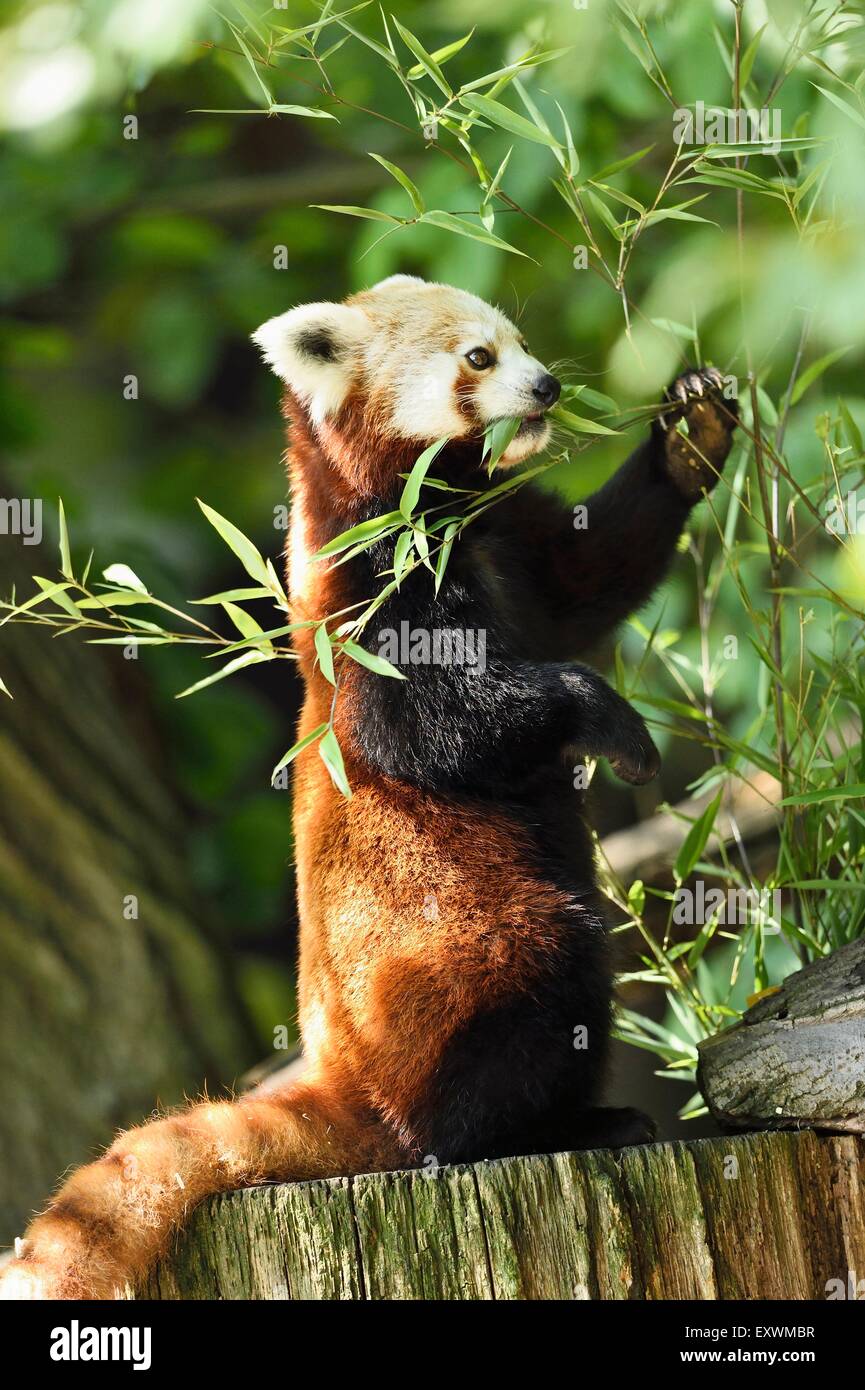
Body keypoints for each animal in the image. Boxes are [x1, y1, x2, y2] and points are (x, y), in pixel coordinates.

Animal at [0, 276, 739, 1295]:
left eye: (519, 341)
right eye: (478, 357)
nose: (548, 387)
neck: (439, 511)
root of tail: (344, 1078)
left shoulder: (512, 539)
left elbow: (589, 576)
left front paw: (690, 430)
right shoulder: (374, 605)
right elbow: (439, 730)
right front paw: (606, 718)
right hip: (458, 960)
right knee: (532, 993)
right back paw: (551, 1127)